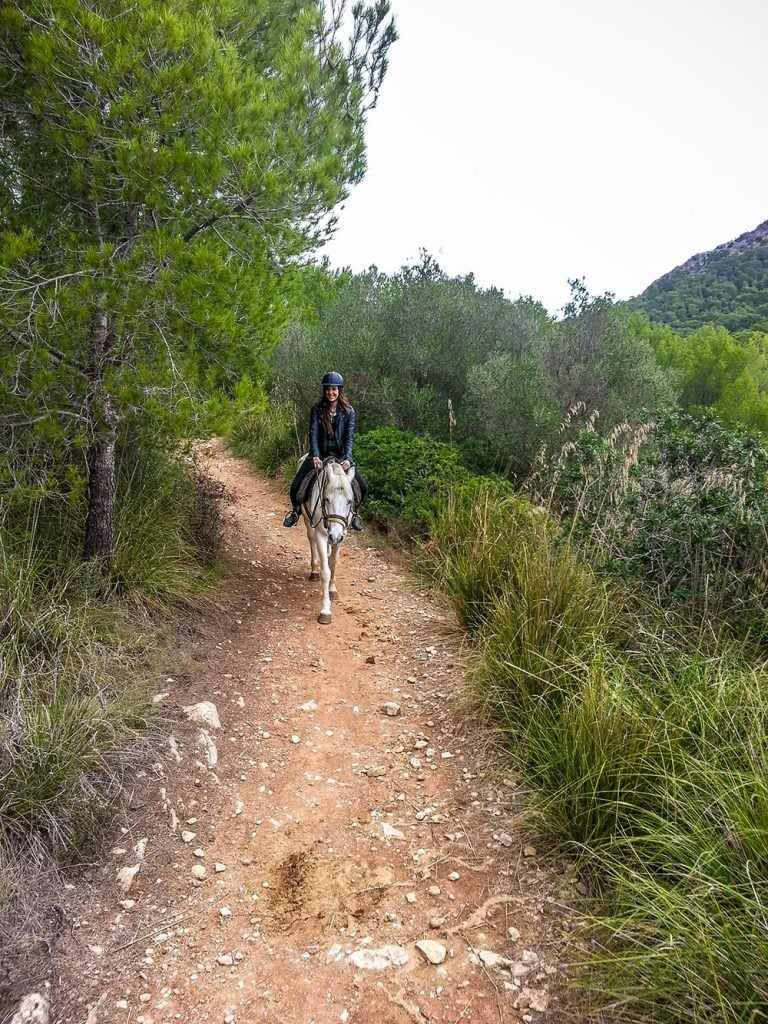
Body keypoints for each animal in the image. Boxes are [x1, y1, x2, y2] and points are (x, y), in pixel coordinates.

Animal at [299, 457, 356, 624]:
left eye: (349, 502)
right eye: (326, 499)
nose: (335, 535)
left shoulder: (342, 535)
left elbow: (334, 563)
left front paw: (332, 590)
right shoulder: (321, 534)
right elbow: (325, 571)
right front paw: (325, 611)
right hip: (308, 521)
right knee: (311, 539)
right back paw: (313, 571)